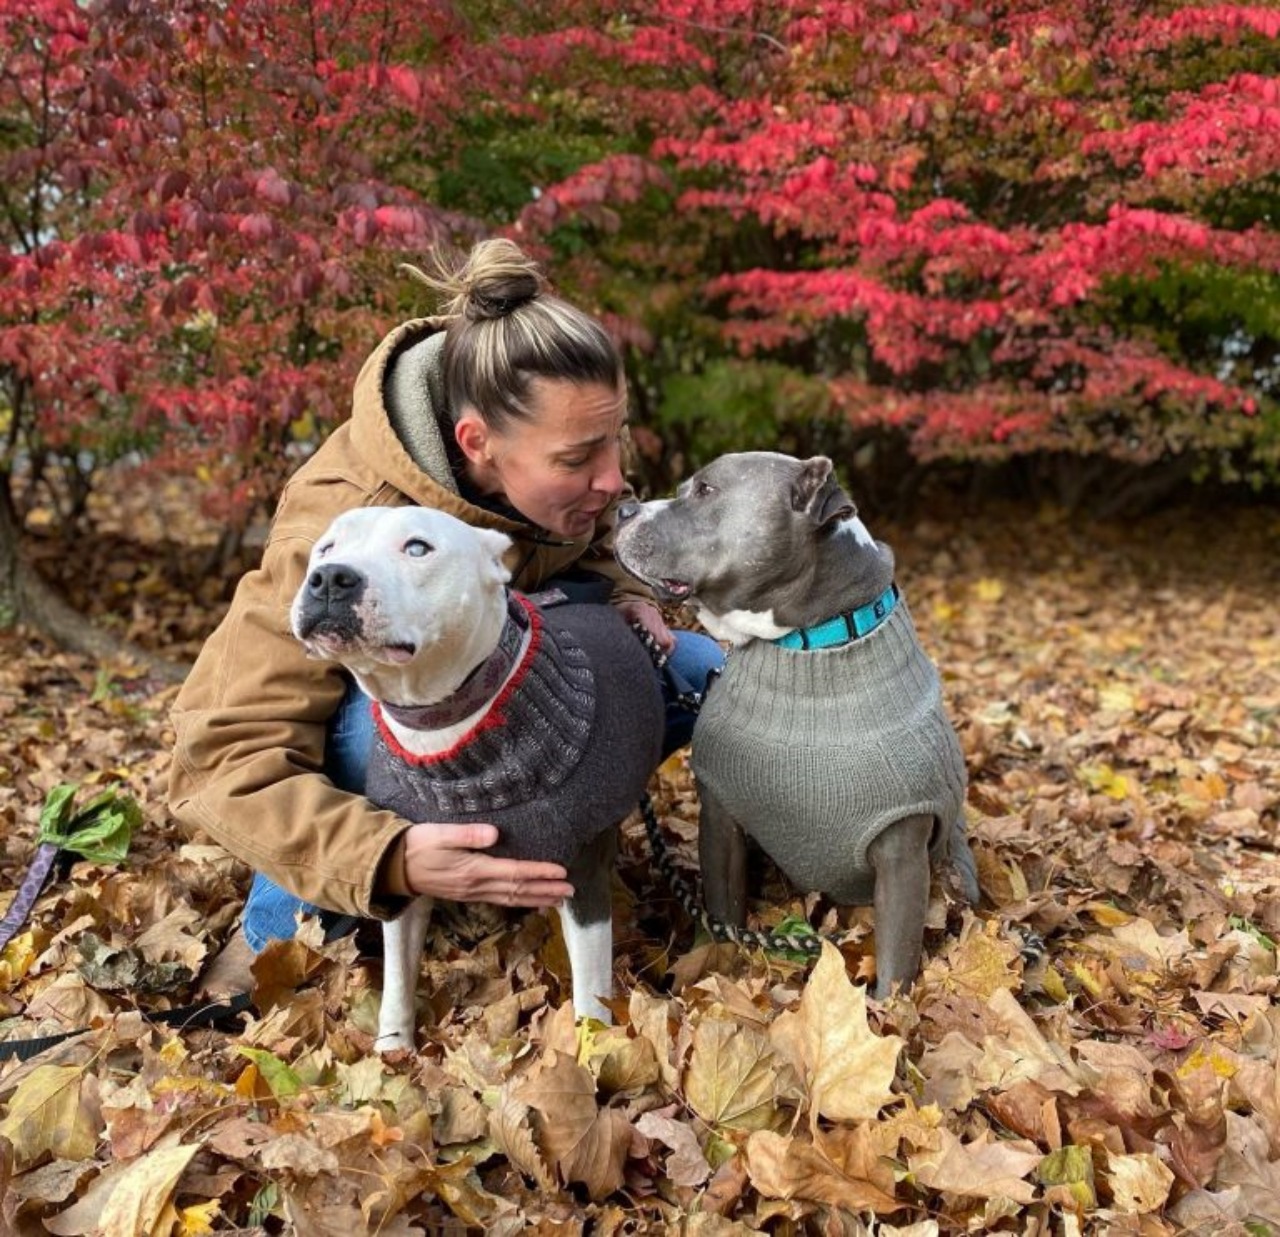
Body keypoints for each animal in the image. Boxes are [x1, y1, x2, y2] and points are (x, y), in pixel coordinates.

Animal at [614, 450, 972, 1003]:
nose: (623, 509)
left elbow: (896, 963)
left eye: (706, 491)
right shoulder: (721, 816)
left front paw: (890, 1014)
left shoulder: (902, 852)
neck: (806, 646)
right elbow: (722, 915)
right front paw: (715, 970)